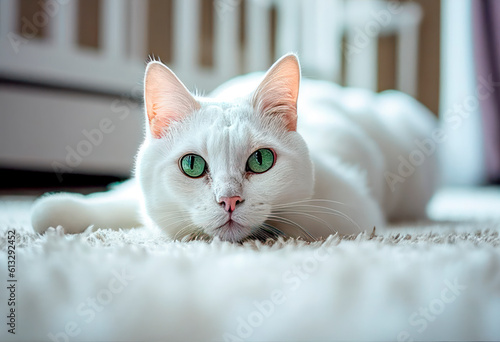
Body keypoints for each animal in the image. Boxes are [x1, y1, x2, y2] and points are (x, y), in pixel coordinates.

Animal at [31, 54, 438, 242]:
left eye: (261, 160)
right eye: (192, 165)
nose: (229, 201)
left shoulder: (349, 210)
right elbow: (123, 201)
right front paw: (56, 211)